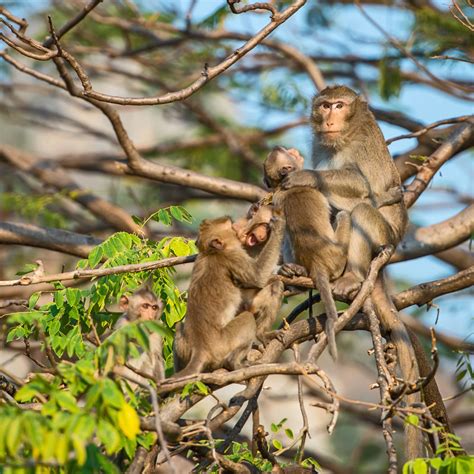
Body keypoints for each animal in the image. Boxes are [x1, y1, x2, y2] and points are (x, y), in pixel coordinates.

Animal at [174, 213, 286, 376]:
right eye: (231, 227)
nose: (238, 228)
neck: (211, 252)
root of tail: (200, 349)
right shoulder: (233, 256)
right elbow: (258, 276)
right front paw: (279, 226)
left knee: (178, 325)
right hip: (223, 344)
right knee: (248, 316)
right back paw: (235, 361)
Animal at [264, 146, 402, 362]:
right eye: (285, 164)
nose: (279, 148)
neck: (284, 187)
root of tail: (317, 261)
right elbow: (359, 203)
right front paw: (389, 196)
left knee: (285, 235)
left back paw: (295, 273)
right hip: (339, 255)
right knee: (348, 214)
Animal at [282, 83, 408, 294]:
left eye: (339, 106)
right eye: (325, 106)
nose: (329, 122)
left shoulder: (363, 143)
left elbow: (362, 183)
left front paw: (306, 176)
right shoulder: (318, 144)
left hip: (386, 237)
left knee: (362, 211)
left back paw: (351, 277)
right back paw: (299, 271)